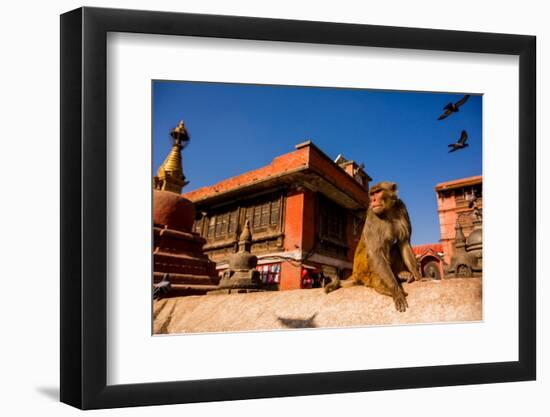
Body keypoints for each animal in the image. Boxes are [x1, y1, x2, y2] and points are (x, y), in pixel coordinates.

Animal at [326, 180, 424, 310]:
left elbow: (404, 243)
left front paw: (417, 274)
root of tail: (355, 274)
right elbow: (375, 252)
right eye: (372, 194)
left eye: (378, 192)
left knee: (394, 246)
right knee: (374, 252)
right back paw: (380, 286)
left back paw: (400, 274)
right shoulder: (372, 214)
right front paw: (395, 290)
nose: (373, 200)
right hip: (364, 271)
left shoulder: (402, 209)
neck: (388, 211)